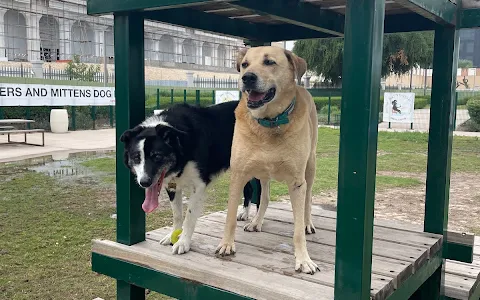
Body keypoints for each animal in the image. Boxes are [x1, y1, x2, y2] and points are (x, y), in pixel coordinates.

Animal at [121, 101, 262, 255]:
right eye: (136, 157)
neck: (181, 146)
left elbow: (189, 216)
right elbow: (177, 214)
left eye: (157, 156)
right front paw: (172, 235)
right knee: (249, 189)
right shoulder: (172, 185)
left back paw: (257, 221)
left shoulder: (198, 186)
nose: (145, 182)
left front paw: (183, 242)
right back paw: (244, 213)